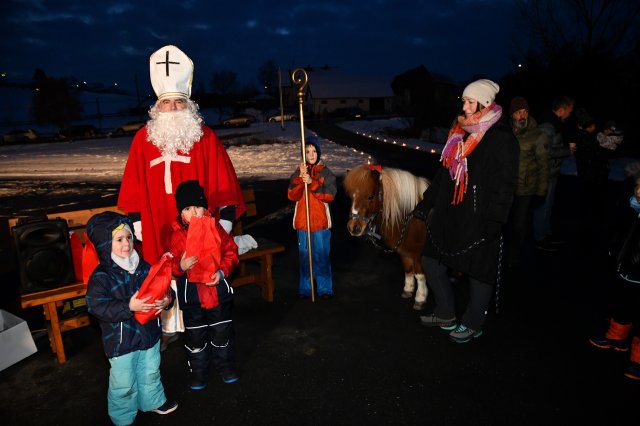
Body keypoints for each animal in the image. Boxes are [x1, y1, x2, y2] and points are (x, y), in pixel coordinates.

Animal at [342, 164, 428, 310]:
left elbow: (420, 275)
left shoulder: (417, 254)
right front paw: (408, 289)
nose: (353, 228)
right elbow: (408, 269)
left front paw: (420, 298)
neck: (413, 218)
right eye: (351, 196)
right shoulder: (404, 251)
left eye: (371, 196)